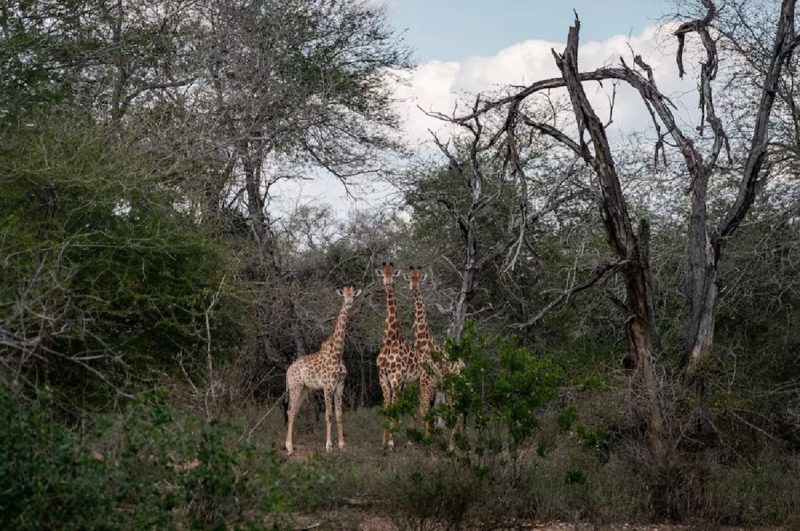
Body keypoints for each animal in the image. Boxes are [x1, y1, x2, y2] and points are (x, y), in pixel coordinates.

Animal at [284, 286, 360, 458]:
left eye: (353, 295)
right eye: (343, 296)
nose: (349, 303)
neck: (337, 353)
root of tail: (288, 370)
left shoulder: (340, 385)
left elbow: (339, 414)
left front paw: (341, 444)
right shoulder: (328, 386)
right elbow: (328, 414)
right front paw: (328, 446)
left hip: (304, 388)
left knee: (293, 410)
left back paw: (289, 445)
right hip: (295, 386)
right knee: (290, 411)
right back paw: (289, 448)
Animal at [376, 262, 428, 448]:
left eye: (393, 274)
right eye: (383, 274)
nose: (388, 284)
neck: (390, 340)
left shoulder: (396, 378)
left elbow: (394, 407)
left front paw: (391, 442)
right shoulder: (383, 378)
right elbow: (386, 407)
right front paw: (383, 441)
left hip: (424, 381)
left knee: (425, 406)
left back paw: (424, 439)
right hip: (413, 383)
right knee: (416, 407)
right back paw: (412, 439)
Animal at [410, 266, 466, 448]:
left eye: (419, 278)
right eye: (409, 278)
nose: (413, 288)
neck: (423, 342)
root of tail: (464, 365)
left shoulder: (428, 382)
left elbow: (425, 409)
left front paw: (425, 439)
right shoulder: (420, 383)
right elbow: (420, 408)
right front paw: (415, 437)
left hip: (454, 387)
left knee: (457, 411)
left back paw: (452, 447)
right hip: (448, 389)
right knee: (456, 410)